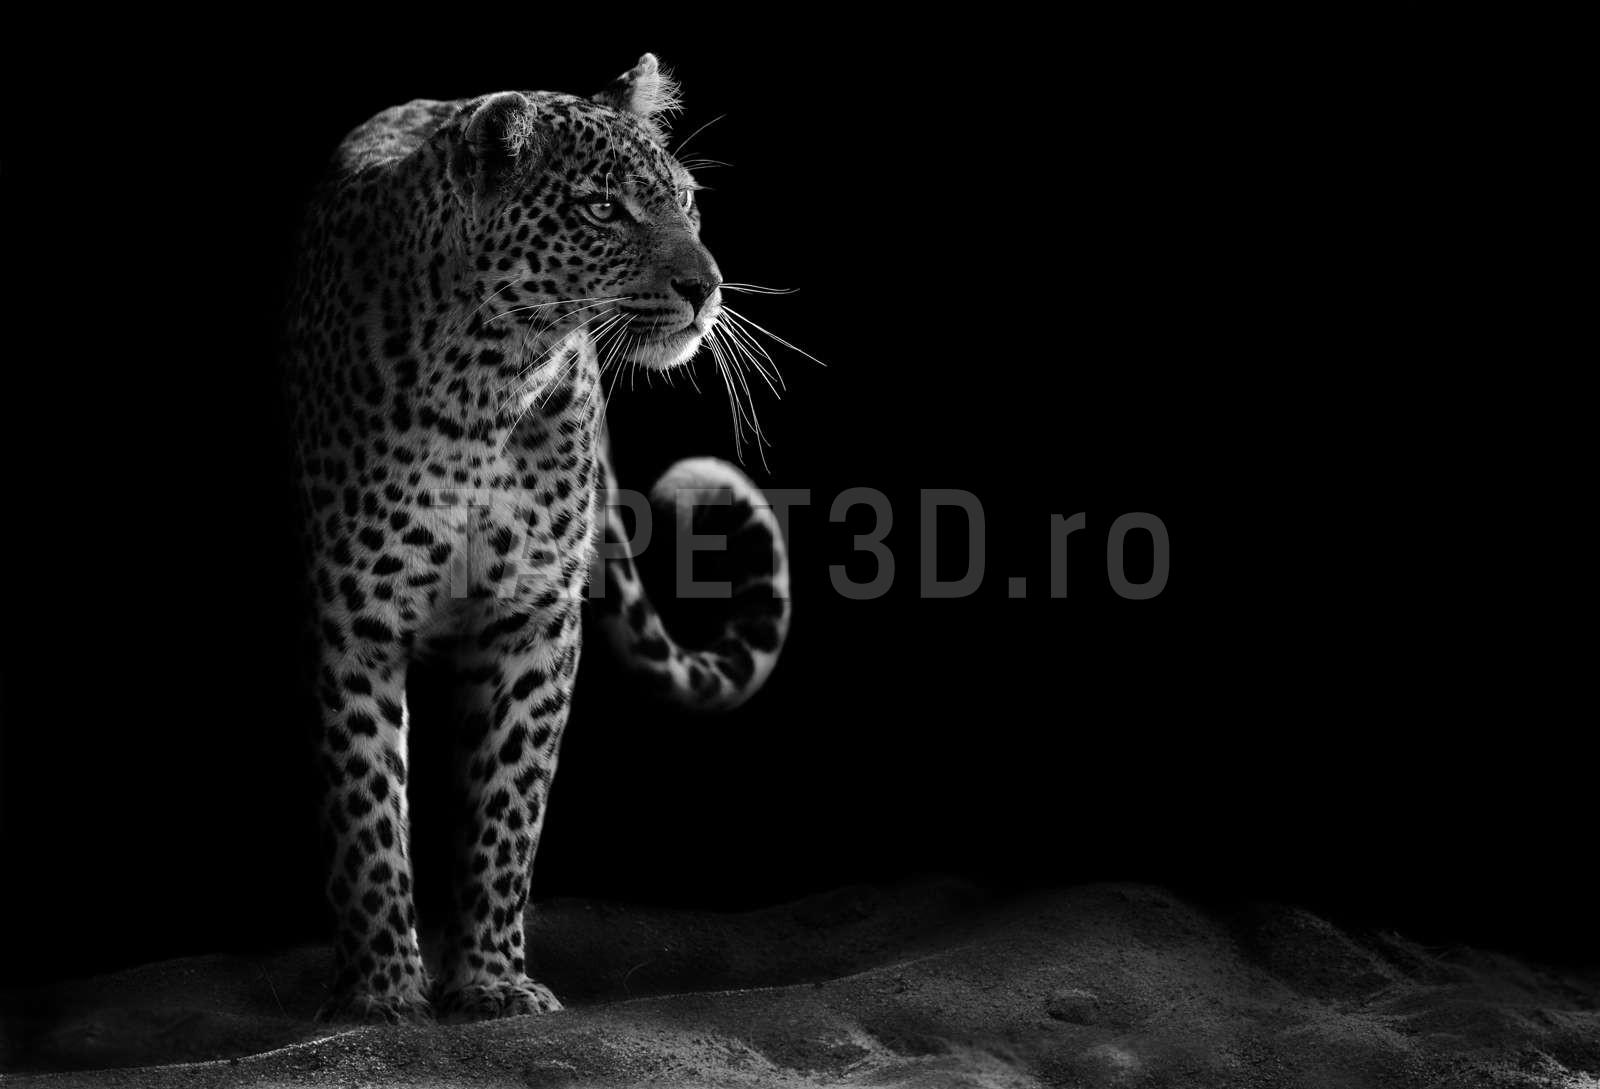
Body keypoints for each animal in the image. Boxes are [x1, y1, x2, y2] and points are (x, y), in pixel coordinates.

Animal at [282, 53, 791, 1023]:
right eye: (602, 208)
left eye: (686, 200)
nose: (706, 288)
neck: (488, 378)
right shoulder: (354, 615)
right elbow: (366, 806)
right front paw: (381, 990)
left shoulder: (533, 618)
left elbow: (507, 804)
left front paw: (490, 979)